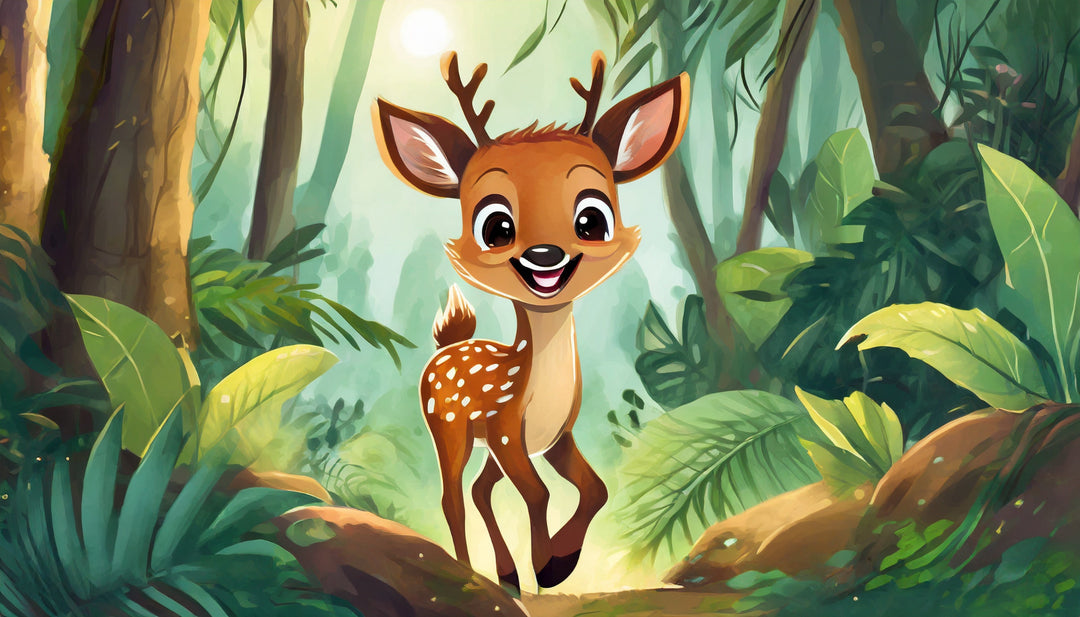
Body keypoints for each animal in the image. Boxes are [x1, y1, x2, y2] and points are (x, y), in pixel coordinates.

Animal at [372, 50, 689, 593]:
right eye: (495, 227)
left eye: (592, 219)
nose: (546, 255)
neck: (536, 391)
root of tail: (446, 347)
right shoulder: (506, 432)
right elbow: (539, 494)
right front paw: (546, 566)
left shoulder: (556, 437)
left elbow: (597, 489)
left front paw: (560, 561)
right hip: (448, 428)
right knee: (452, 497)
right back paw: (468, 572)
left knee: (479, 490)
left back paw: (505, 576)